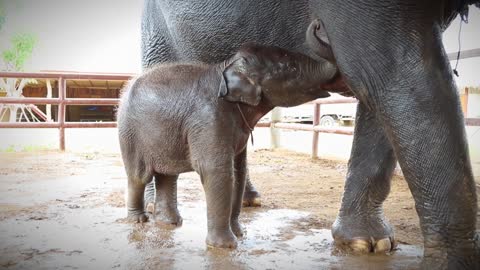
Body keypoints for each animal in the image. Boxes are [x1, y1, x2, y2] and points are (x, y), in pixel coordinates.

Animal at [117, 29, 346, 249]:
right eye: (292, 68)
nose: (317, 24)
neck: (227, 65)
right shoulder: (209, 118)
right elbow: (217, 170)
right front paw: (226, 246)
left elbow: (238, 171)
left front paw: (240, 234)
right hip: (130, 133)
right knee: (139, 176)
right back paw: (139, 220)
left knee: (168, 175)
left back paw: (170, 222)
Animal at [141, 0, 478, 266]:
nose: (318, 26)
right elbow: (395, 73)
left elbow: (376, 90)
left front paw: (369, 244)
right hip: (157, 33)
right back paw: (153, 208)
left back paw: (250, 201)